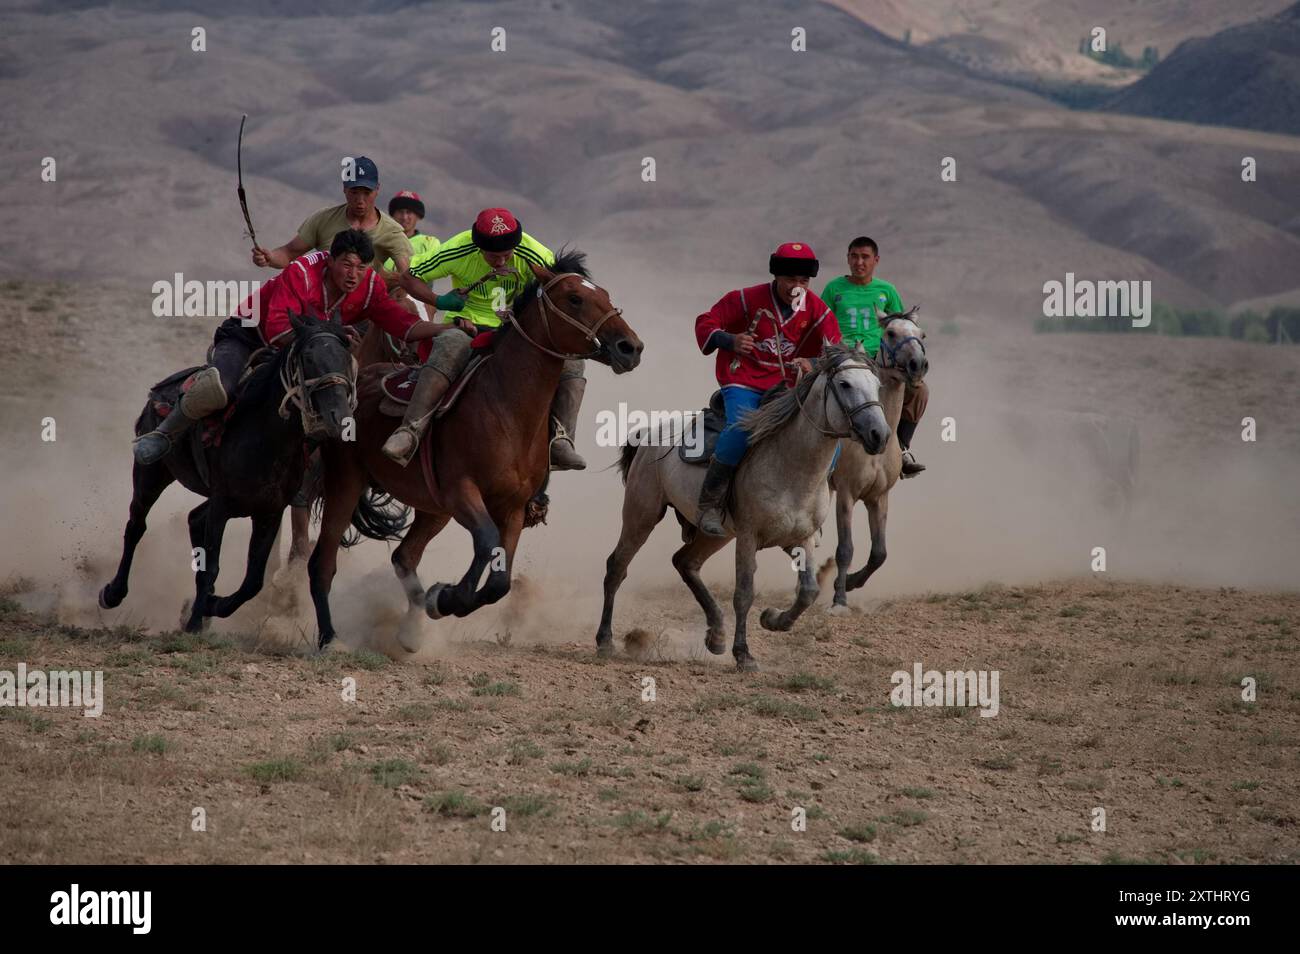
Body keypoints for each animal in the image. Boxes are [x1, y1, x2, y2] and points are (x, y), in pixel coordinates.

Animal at [309, 250, 644, 649]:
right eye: (574, 298)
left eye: (604, 294)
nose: (630, 347)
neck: (507, 407)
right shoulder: (462, 491)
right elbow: (486, 542)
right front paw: (448, 596)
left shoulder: (512, 508)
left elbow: (500, 581)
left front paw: (442, 598)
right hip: (346, 483)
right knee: (323, 562)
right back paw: (329, 638)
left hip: (432, 508)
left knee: (404, 556)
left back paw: (410, 633)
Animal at [600, 345, 894, 670]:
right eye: (845, 384)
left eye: (877, 386)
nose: (879, 434)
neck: (792, 464)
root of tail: (650, 434)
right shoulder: (748, 537)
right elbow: (744, 593)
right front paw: (743, 654)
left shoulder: (800, 538)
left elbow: (808, 591)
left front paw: (774, 619)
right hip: (642, 515)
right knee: (617, 566)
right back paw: (605, 640)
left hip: (715, 534)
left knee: (685, 562)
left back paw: (716, 633)